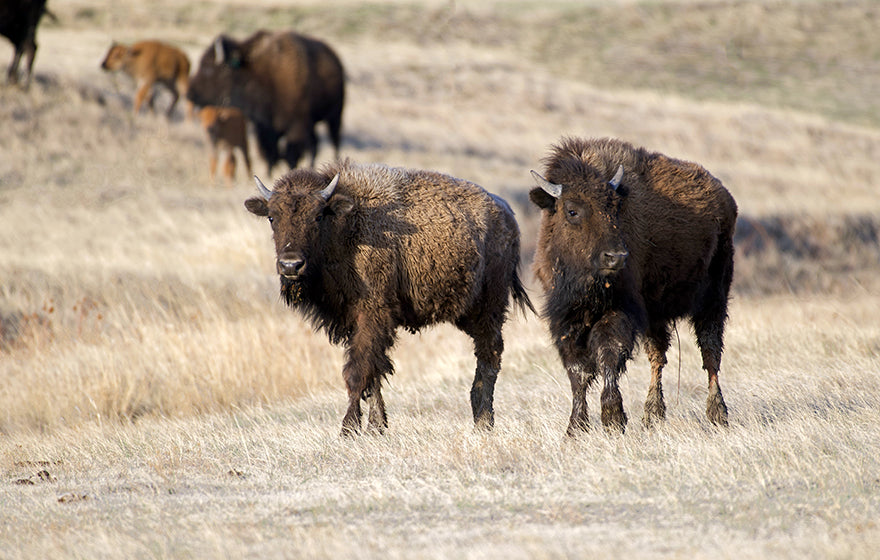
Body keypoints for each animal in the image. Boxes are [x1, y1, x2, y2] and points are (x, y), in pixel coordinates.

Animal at [187, 29, 346, 177]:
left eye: (208, 68)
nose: (190, 93)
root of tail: (336, 60)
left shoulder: (297, 126)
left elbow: (290, 154)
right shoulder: (264, 127)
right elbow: (269, 152)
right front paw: (269, 173)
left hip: (335, 115)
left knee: (333, 140)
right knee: (314, 145)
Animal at [246, 160, 536, 436]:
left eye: (317, 216)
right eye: (272, 217)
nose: (290, 265)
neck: (345, 227)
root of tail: (508, 215)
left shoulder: (373, 315)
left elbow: (358, 371)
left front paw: (348, 429)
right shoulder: (352, 321)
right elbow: (373, 373)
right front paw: (376, 427)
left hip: (489, 307)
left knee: (490, 356)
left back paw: (483, 422)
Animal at [528, 138, 736, 436]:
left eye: (614, 208)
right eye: (572, 210)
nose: (616, 257)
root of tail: (725, 198)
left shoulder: (620, 310)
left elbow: (608, 355)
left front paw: (613, 419)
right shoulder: (567, 317)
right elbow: (578, 371)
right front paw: (575, 427)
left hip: (713, 300)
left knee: (710, 353)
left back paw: (717, 414)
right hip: (657, 314)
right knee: (658, 356)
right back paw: (652, 416)